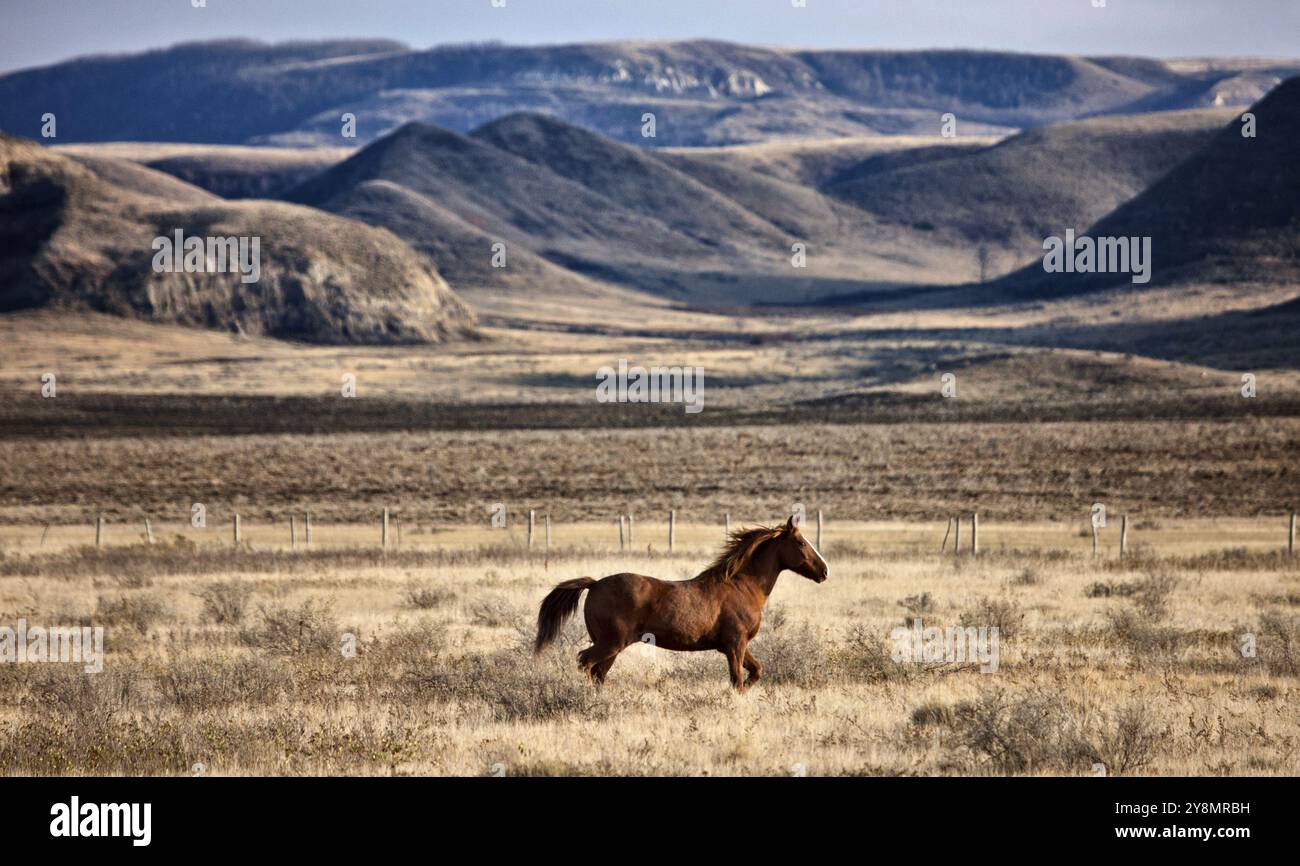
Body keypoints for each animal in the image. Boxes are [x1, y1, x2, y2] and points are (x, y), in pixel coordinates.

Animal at [533, 514, 826, 691]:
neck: (742, 586)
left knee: (598, 672)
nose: (824, 571)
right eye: (801, 542)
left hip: (610, 647)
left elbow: (756, 671)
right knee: (585, 662)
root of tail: (594, 584)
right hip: (611, 643)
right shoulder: (735, 644)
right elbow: (737, 681)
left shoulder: (733, 646)